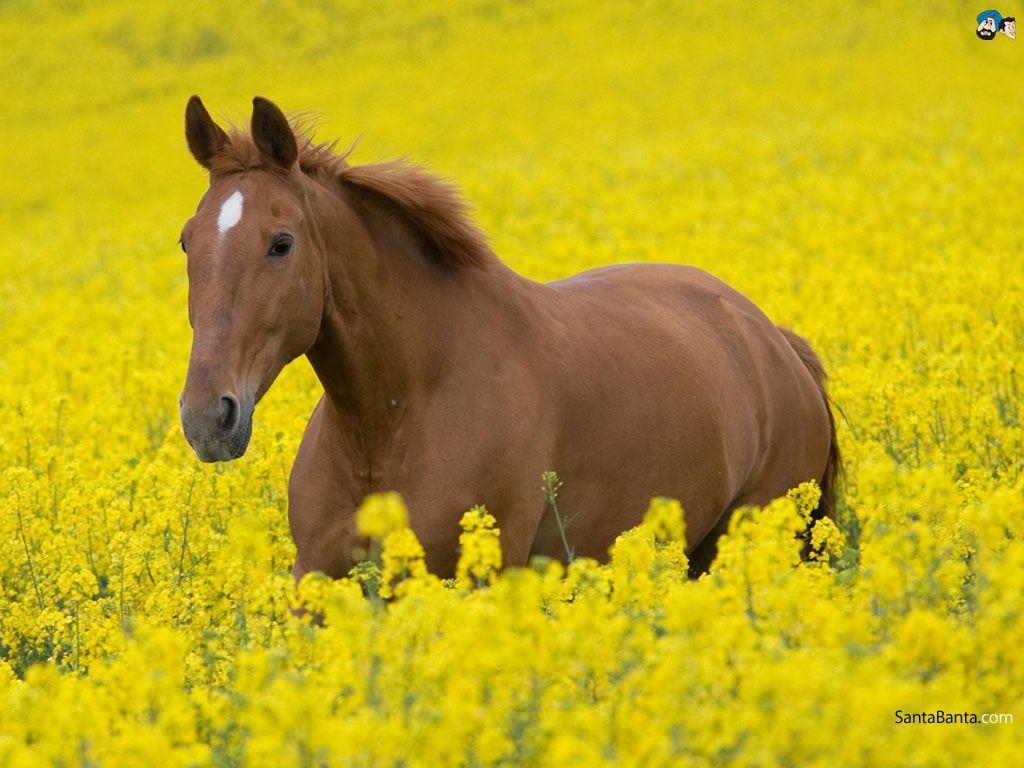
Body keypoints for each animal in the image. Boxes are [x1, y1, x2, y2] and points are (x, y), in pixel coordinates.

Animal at [178, 96, 841, 580]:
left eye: (281, 243)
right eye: (187, 240)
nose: (208, 417)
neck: (394, 417)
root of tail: (774, 341)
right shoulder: (316, 581)